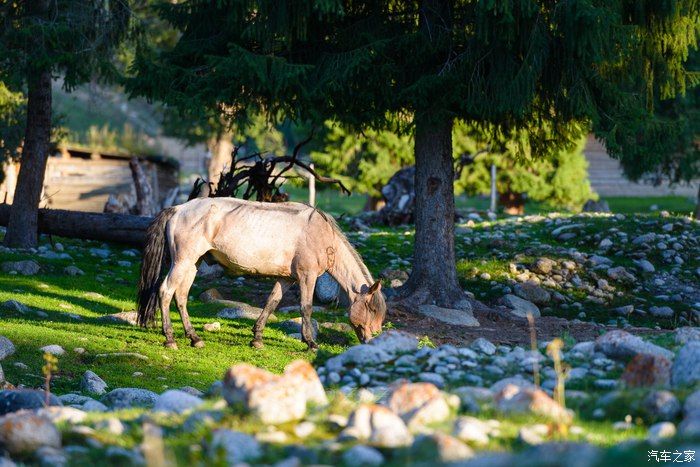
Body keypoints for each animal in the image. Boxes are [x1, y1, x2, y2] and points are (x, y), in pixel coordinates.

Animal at [135, 197, 388, 352]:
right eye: (371, 309)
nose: (372, 341)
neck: (321, 233)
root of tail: (178, 209)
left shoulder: (287, 279)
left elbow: (272, 302)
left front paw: (256, 338)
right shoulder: (307, 277)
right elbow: (306, 307)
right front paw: (310, 343)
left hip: (192, 264)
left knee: (181, 297)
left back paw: (194, 338)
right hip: (183, 262)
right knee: (166, 292)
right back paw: (170, 339)